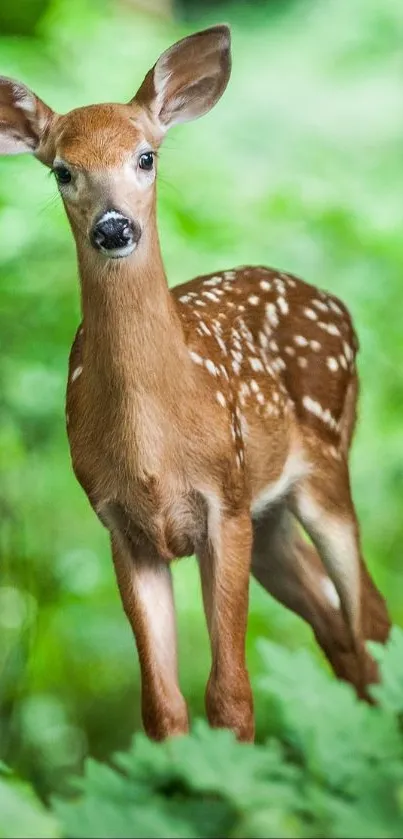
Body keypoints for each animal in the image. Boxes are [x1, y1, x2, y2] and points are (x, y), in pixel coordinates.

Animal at [0, 23, 392, 740]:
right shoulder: (121, 525)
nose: (114, 227)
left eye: (146, 157)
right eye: (62, 170)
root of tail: (336, 304)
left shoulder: (223, 501)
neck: (153, 446)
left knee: (369, 616)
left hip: (323, 466)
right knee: (336, 627)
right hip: (271, 519)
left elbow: (230, 695)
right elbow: (162, 706)